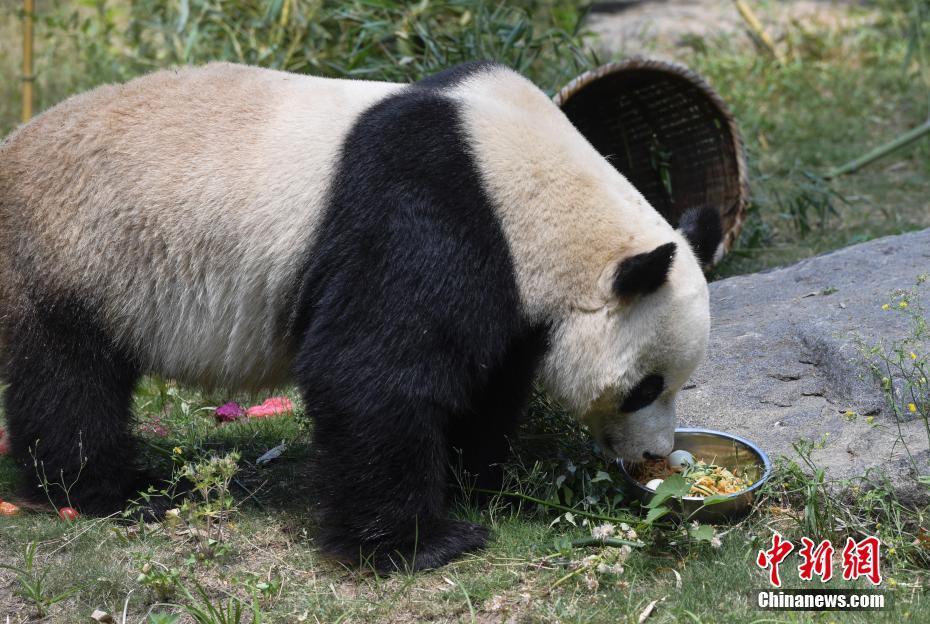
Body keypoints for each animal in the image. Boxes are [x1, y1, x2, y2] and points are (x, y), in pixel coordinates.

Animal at [0, 61, 720, 572]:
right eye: (646, 388)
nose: (655, 454)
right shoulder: (427, 208)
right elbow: (371, 372)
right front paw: (424, 542)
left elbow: (487, 379)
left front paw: (481, 482)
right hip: (66, 255)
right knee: (69, 384)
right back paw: (111, 490)